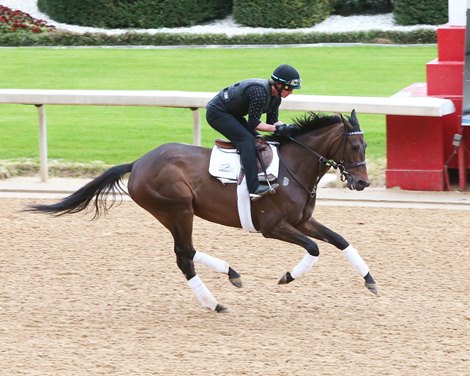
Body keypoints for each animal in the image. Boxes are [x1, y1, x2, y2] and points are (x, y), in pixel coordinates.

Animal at [28, 108, 378, 312]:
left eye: (365, 146)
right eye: (354, 146)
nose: (362, 182)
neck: (293, 167)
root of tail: (138, 163)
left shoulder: (302, 220)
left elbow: (340, 240)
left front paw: (370, 280)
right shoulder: (273, 227)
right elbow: (315, 248)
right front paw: (288, 276)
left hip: (176, 213)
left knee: (187, 251)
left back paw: (228, 279)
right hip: (177, 209)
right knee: (184, 254)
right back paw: (216, 299)